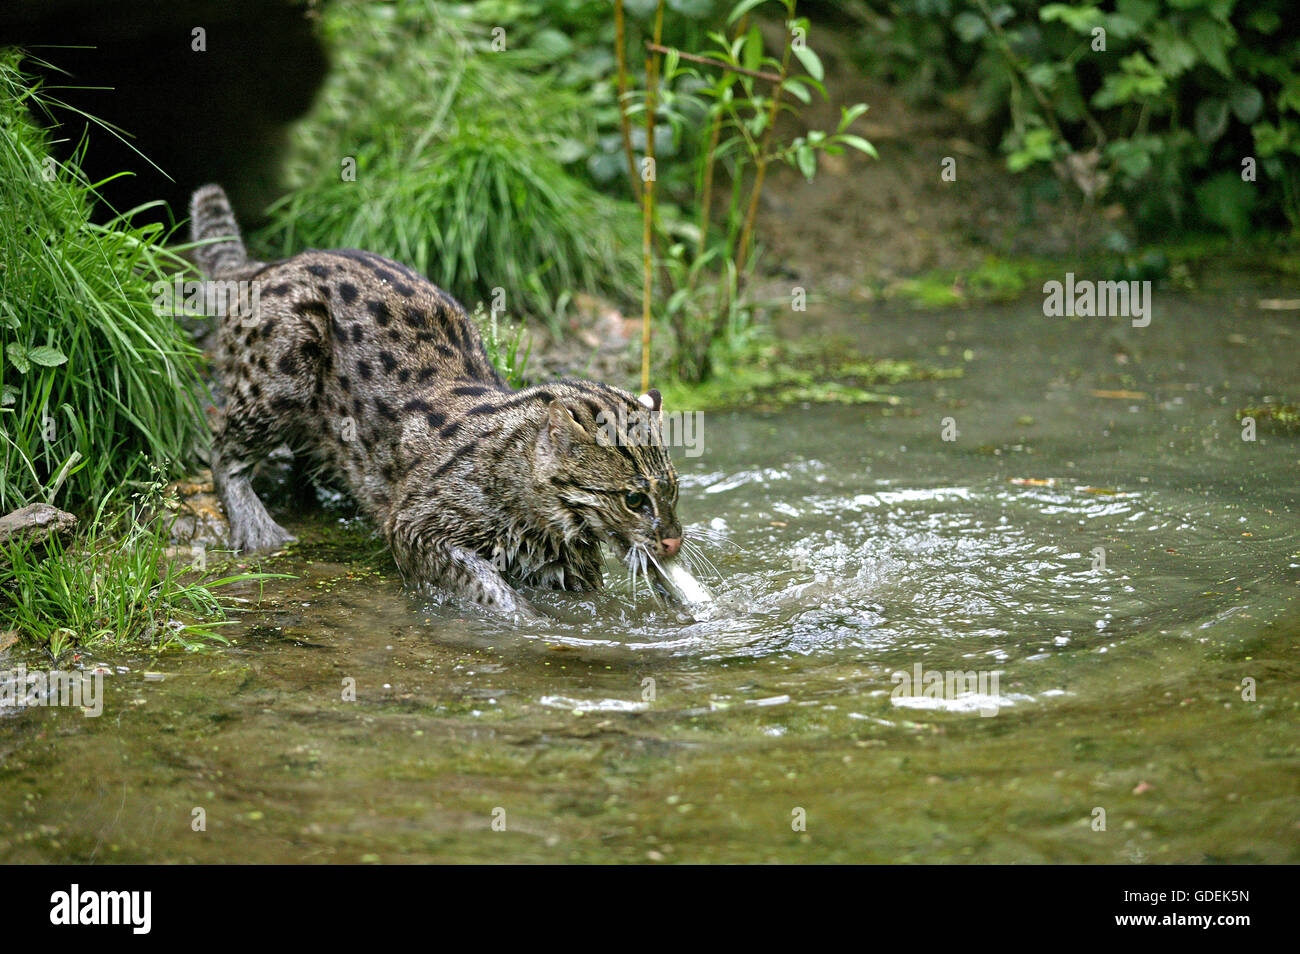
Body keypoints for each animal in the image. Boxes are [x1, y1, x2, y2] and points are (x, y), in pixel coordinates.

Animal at [189, 184, 691, 621]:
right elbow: (483, 582)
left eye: (673, 490)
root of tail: (263, 267)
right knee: (222, 451)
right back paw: (256, 523)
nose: (672, 543)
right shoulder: (414, 525)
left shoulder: (563, 564)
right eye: (633, 499)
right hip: (280, 379)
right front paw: (525, 619)